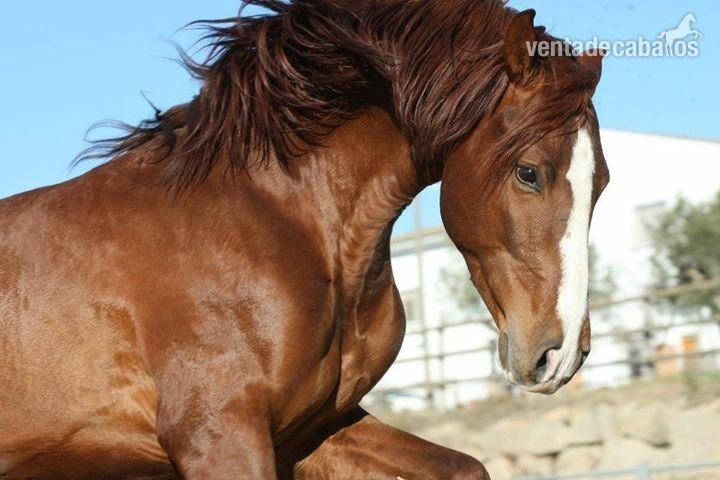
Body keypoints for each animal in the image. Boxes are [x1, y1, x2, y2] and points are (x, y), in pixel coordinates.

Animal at [0, 1, 609, 478]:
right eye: (529, 173)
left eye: (600, 182)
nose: (560, 357)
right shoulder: (218, 437)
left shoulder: (311, 429)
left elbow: (464, 467)